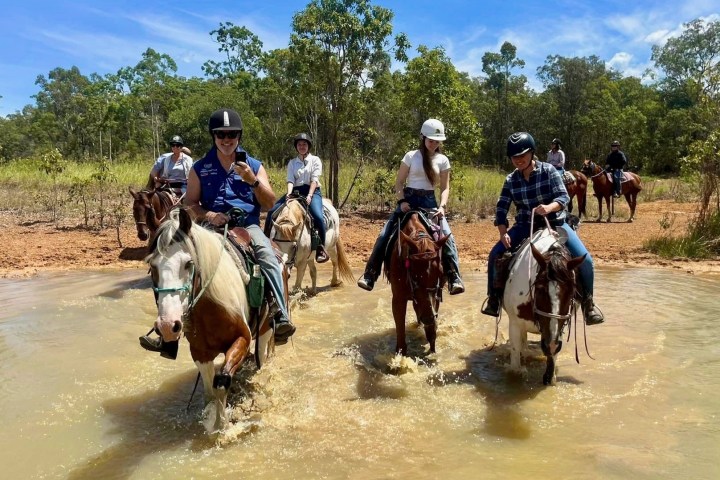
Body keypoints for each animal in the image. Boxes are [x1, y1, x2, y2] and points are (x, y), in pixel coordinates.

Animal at [145, 208, 274, 434]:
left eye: (188, 263)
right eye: (152, 265)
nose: (168, 326)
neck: (212, 308)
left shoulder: (242, 338)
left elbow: (221, 382)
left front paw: (221, 427)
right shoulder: (200, 352)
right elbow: (209, 391)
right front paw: (210, 419)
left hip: (265, 331)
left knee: (262, 358)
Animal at [386, 212, 448, 354]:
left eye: (440, 272)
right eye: (414, 273)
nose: (428, 318)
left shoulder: (436, 294)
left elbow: (432, 328)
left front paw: (432, 350)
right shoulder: (398, 299)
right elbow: (400, 331)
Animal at [504, 225, 588, 386]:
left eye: (572, 292)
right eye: (540, 289)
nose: (550, 345)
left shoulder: (558, 330)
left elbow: (551, 366)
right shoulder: (515, 325)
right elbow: (516, 365)